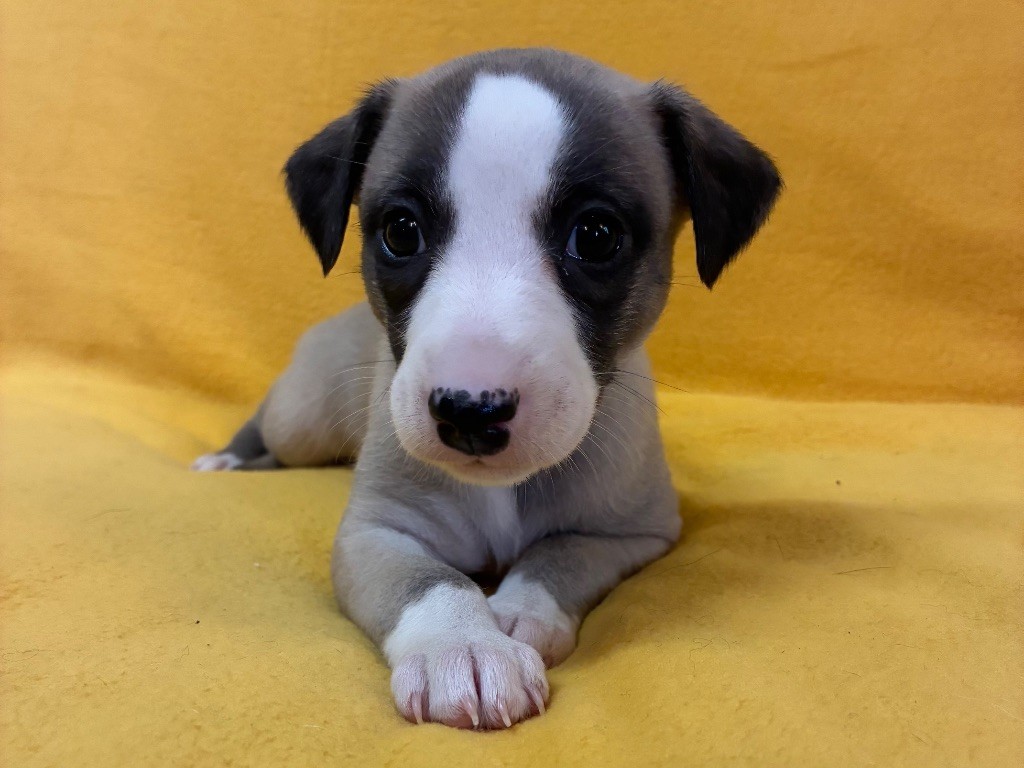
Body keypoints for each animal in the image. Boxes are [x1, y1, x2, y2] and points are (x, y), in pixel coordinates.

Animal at [193, 48, 781, 729]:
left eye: (596, 236)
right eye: (401, 230)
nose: (471, 411)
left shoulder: (636, 534)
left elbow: (559, 554)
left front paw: (516, 614)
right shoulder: (373, 535)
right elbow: (428, 580)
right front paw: (462, 647)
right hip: (303, 418)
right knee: (270, 420)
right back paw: (230, 457)